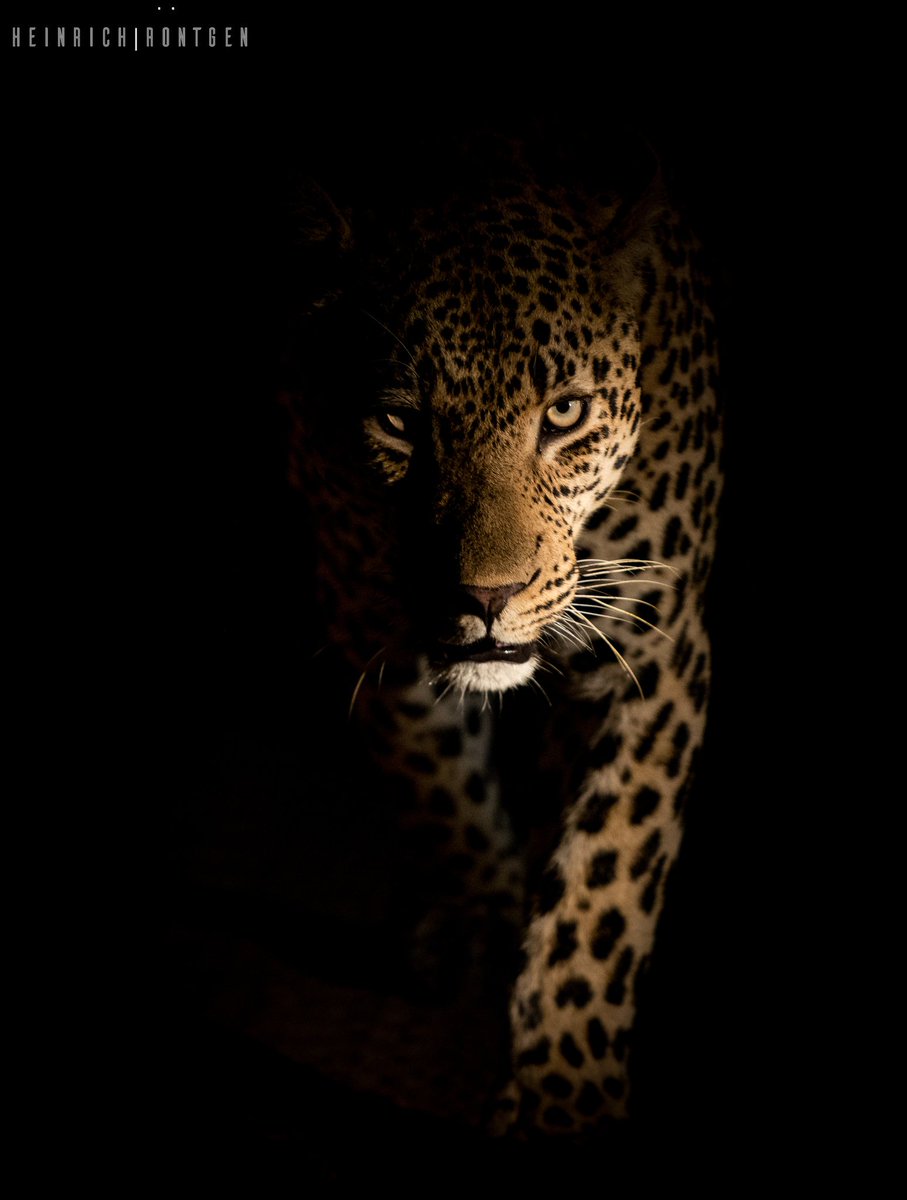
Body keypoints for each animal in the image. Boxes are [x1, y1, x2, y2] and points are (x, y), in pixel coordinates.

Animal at [281, 135, 722, 1136]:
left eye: (564, 414)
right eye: (399, 423)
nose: (487, 595)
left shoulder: (655, 650)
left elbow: (605, 880)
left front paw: (564, 1090)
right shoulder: (363, 610)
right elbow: (437, 780)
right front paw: (478, 910)